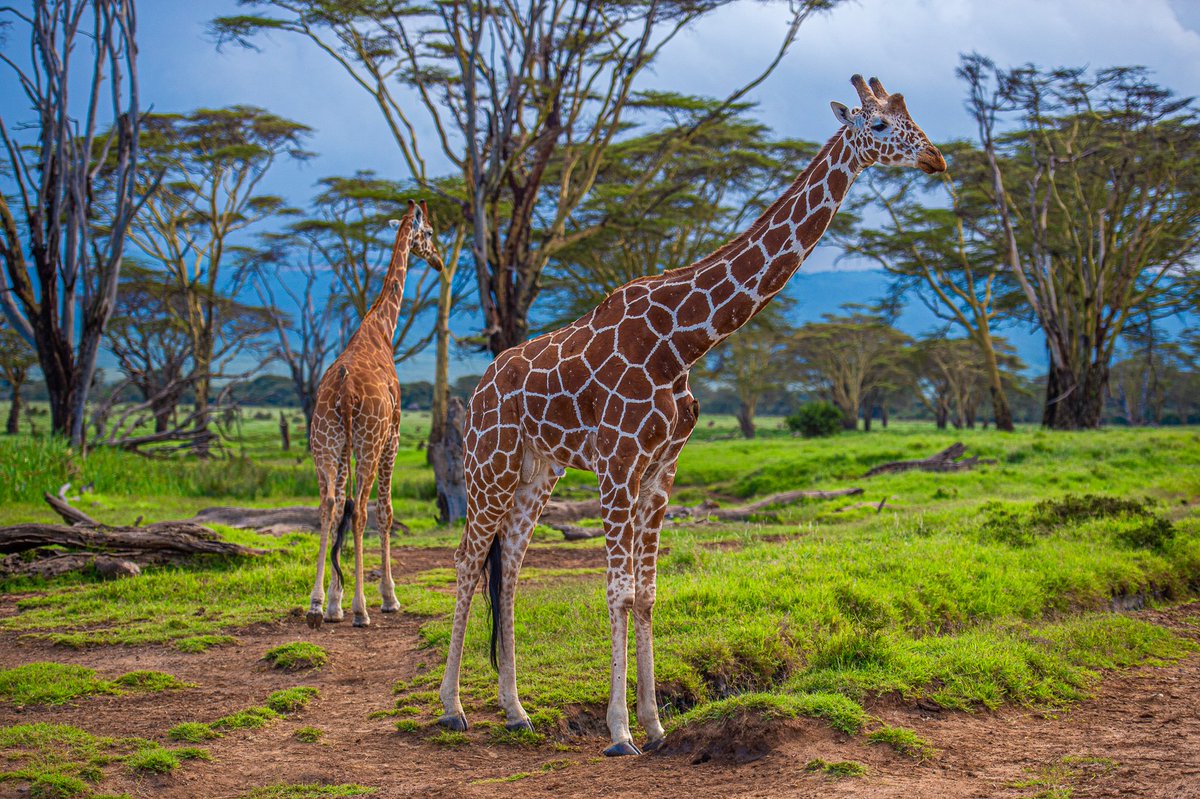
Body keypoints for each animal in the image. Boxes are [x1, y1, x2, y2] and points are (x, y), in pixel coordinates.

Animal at [305, 200, 443, 630]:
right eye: (428, 233)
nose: (438, 261)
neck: (381, 329)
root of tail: (345, 390)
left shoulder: (343, 447)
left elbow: (339, 510)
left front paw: (333, 603)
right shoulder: (393, 435)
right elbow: (386, 511)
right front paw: (388, 597)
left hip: (325, 443)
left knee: (329, 506)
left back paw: (315, 606)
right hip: (369, 442)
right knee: (364, 511)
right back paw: (363, 609)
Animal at [438, 76, 946, 754]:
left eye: (911, 116)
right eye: (882, 125)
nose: (936, 159)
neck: (682, 341)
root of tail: (482, 384)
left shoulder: (661, 472)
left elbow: (649, 593)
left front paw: (654, 724)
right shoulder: (618, 466)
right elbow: (619, 591)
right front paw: (619, 731)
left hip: (537, 469)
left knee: (512, 564)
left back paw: (515, 709)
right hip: (488, 463)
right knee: (469, 561)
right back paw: (453, 708)